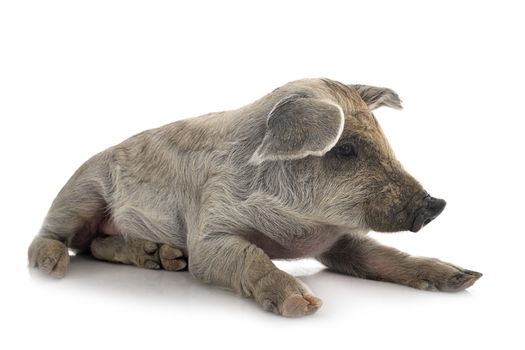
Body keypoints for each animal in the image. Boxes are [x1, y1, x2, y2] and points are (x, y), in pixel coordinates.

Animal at [26, 77, 482, 318]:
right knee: (55, 239)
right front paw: (306, 304)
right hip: (80, 191)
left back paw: (166, 259)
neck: (296, 231)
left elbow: (381, 256)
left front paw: (465, 278)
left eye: (386, 142)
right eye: (345, 150)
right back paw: (53, 268)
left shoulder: (339, 242)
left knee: (97, 245)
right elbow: (244, 256)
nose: (436, 203)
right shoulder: (210, 227)